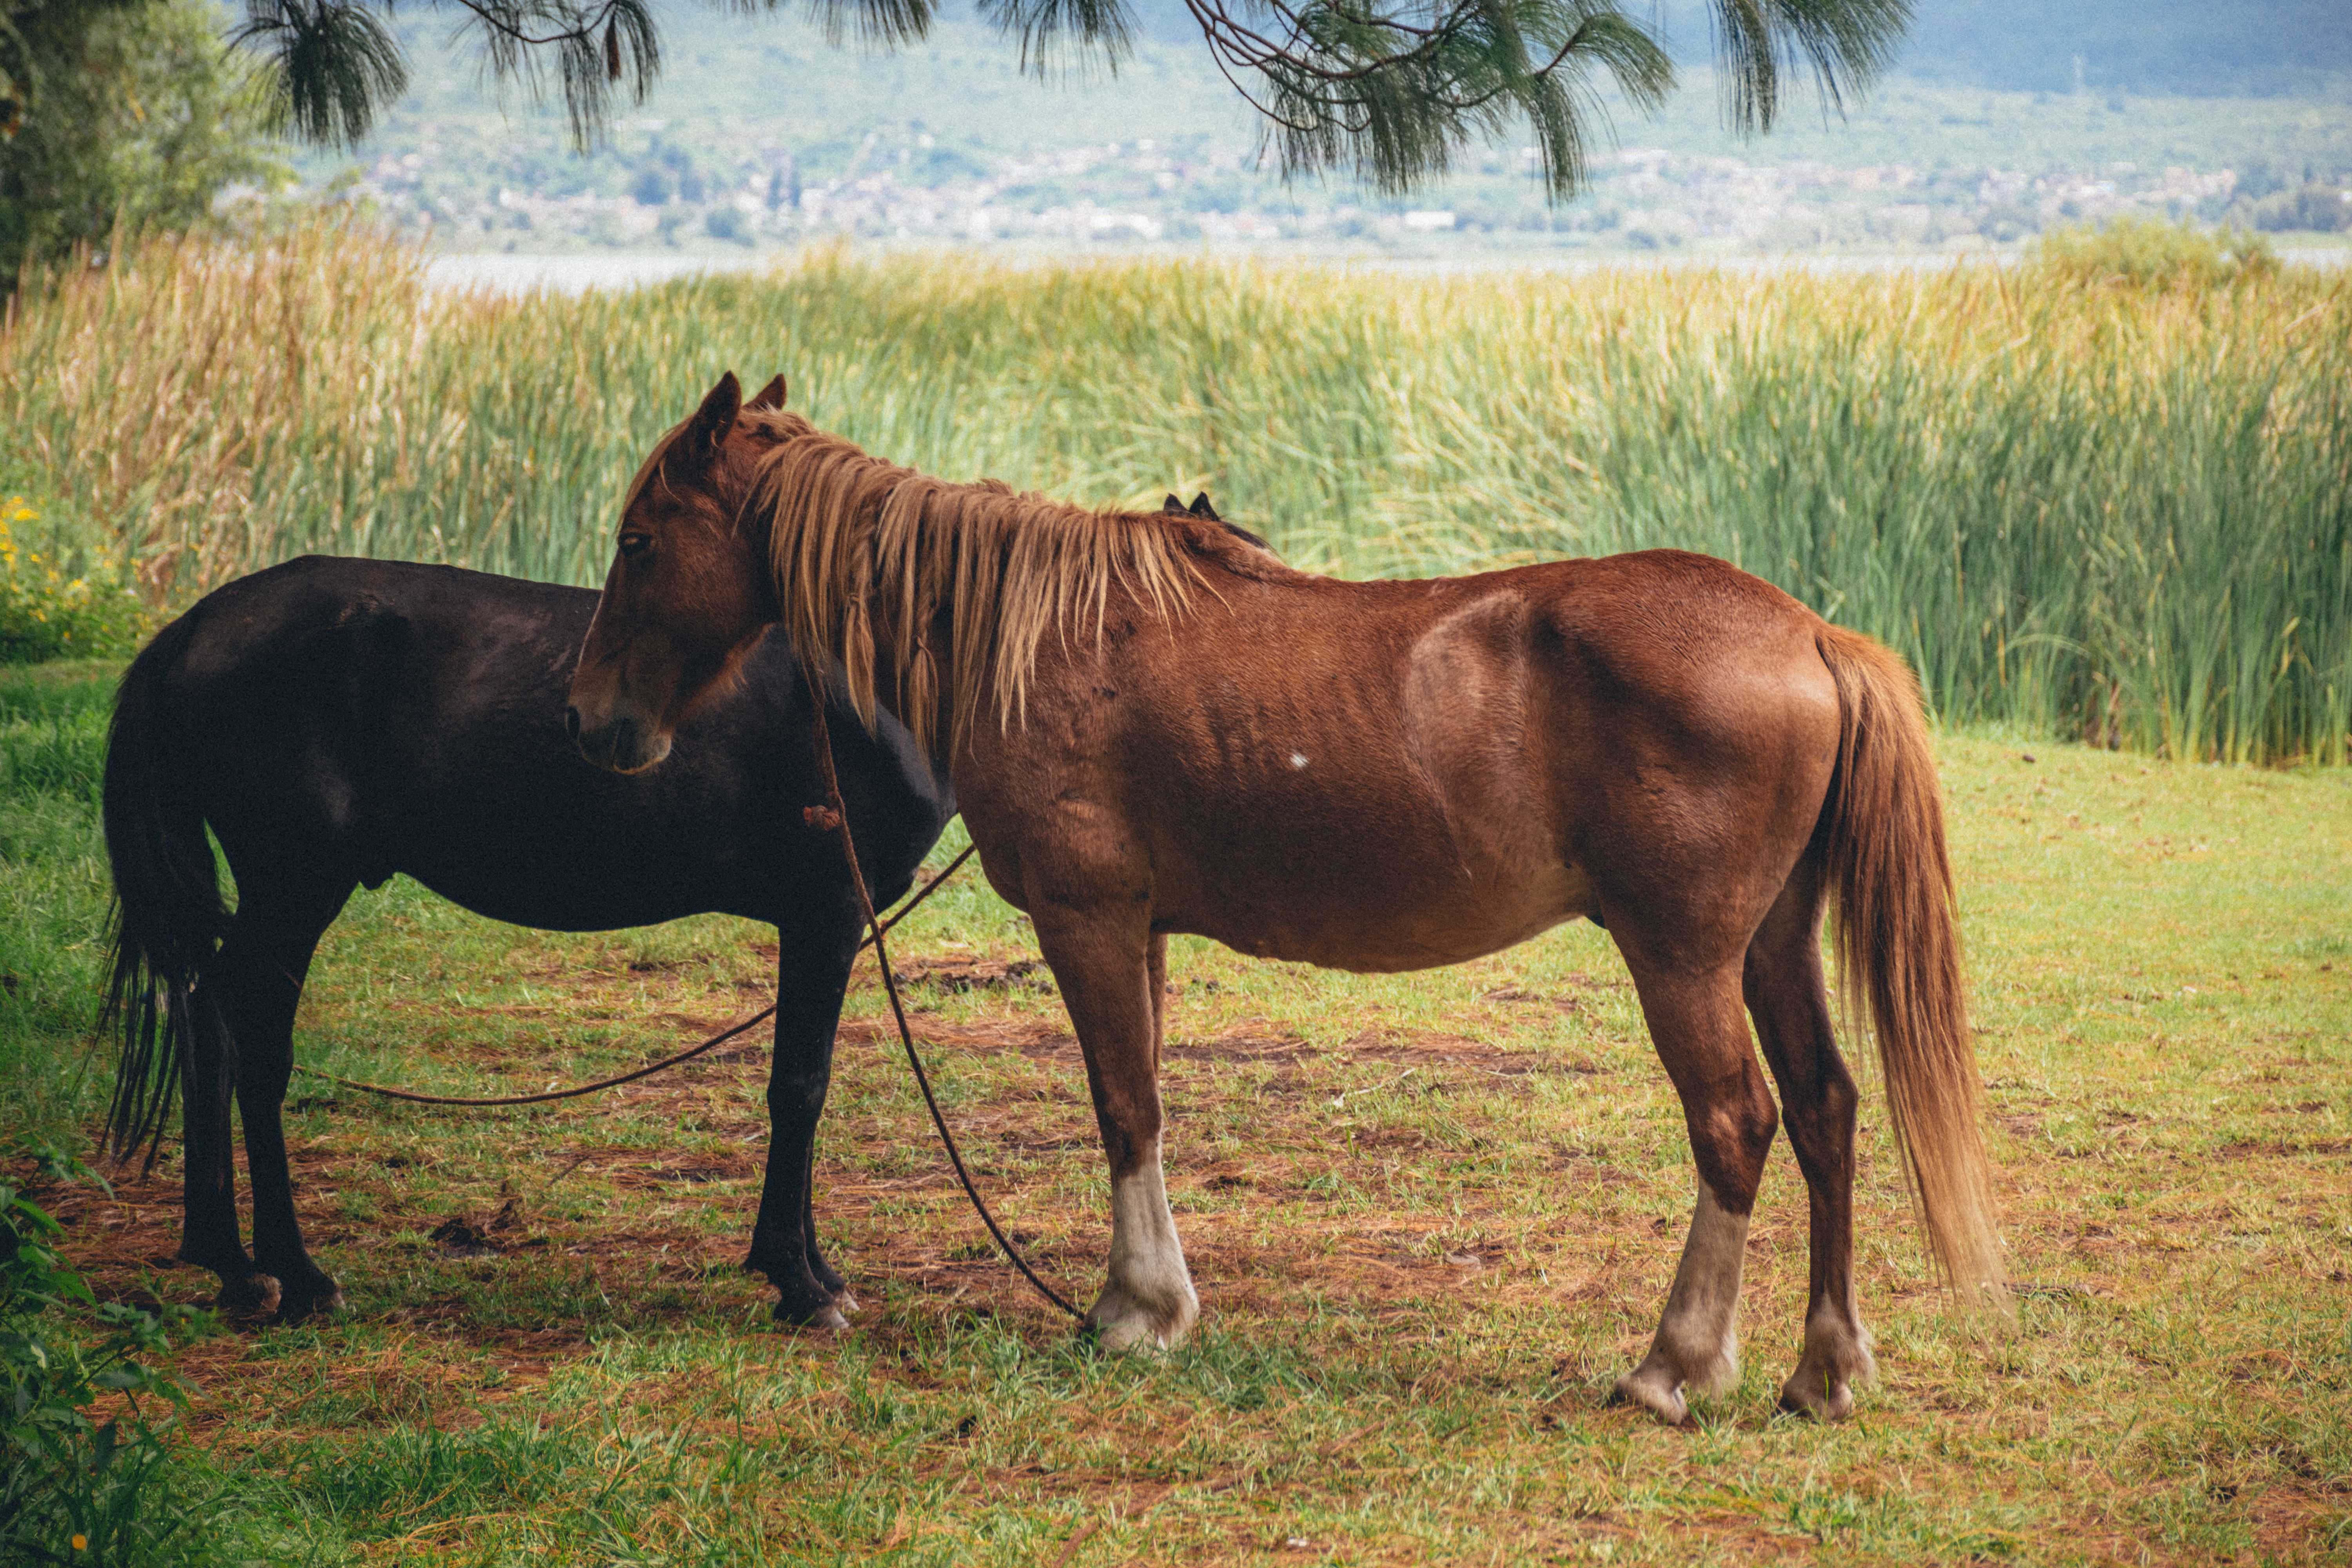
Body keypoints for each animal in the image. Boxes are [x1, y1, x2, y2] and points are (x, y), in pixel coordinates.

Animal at [103, 552, 954, 1326]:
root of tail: (196, 625)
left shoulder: (821, 922)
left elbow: (805, 1087)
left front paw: (813, 1270)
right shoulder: (826, 914)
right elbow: (801, 1089)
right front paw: (801, 1283)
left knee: (204, 1016)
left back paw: (233, 1264)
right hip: (295, 887)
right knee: (250, 1039)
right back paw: (296, 1273)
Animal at [566, 373, 2005, 1425]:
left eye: (641, 539)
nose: (592, 717)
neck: (1034, 637)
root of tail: (1808, 633)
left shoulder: (1087, 921)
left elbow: (1124, 1108)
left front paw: (1136, 1313)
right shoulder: (1139, 931)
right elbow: (1144, 1105)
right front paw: (1147, 1298)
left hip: (1684, 958)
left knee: (1736, 1125)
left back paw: (1675, 1367)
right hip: (1771, 946)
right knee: (1824, 1112)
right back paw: (1822, 1370)